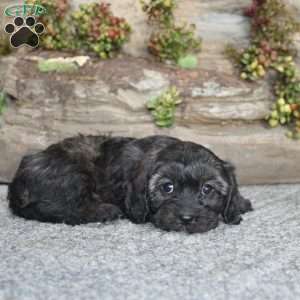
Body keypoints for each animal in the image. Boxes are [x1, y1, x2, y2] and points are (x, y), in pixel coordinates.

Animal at [7, 135, 252, 233]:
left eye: (207, 189)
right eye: (167, 188)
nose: (186, 219)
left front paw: (239, 203)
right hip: (73, 174)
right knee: (64, 209)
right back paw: (103, 211)